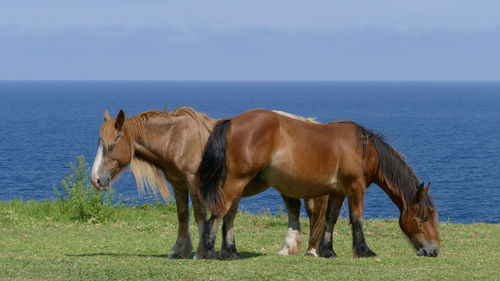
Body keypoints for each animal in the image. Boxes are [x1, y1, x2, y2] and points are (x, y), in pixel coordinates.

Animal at [90, 106, 330, 258]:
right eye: (99, 143)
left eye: (111, 145)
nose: (95, 179)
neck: (176, 139)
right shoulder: (179, 185)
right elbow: (183, 215)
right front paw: (179, 249)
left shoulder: (195, 183)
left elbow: (199, 215)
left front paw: (201, 251)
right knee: (294, 209)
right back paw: (289, 249)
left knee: (310, 211)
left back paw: (311, 250)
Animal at [195, 108, 442, 258]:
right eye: (425, 217)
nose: (434, 250)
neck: (364, 150)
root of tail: (233, 121)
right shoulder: (355, 188)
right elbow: (357, 218)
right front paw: (364, 251)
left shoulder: (339, 191)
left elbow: (330, 219)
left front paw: (327, 251)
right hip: (236, 181)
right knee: (220, 211)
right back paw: (209, 251)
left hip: (238, 184)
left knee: (229, 215)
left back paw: (231, 252)